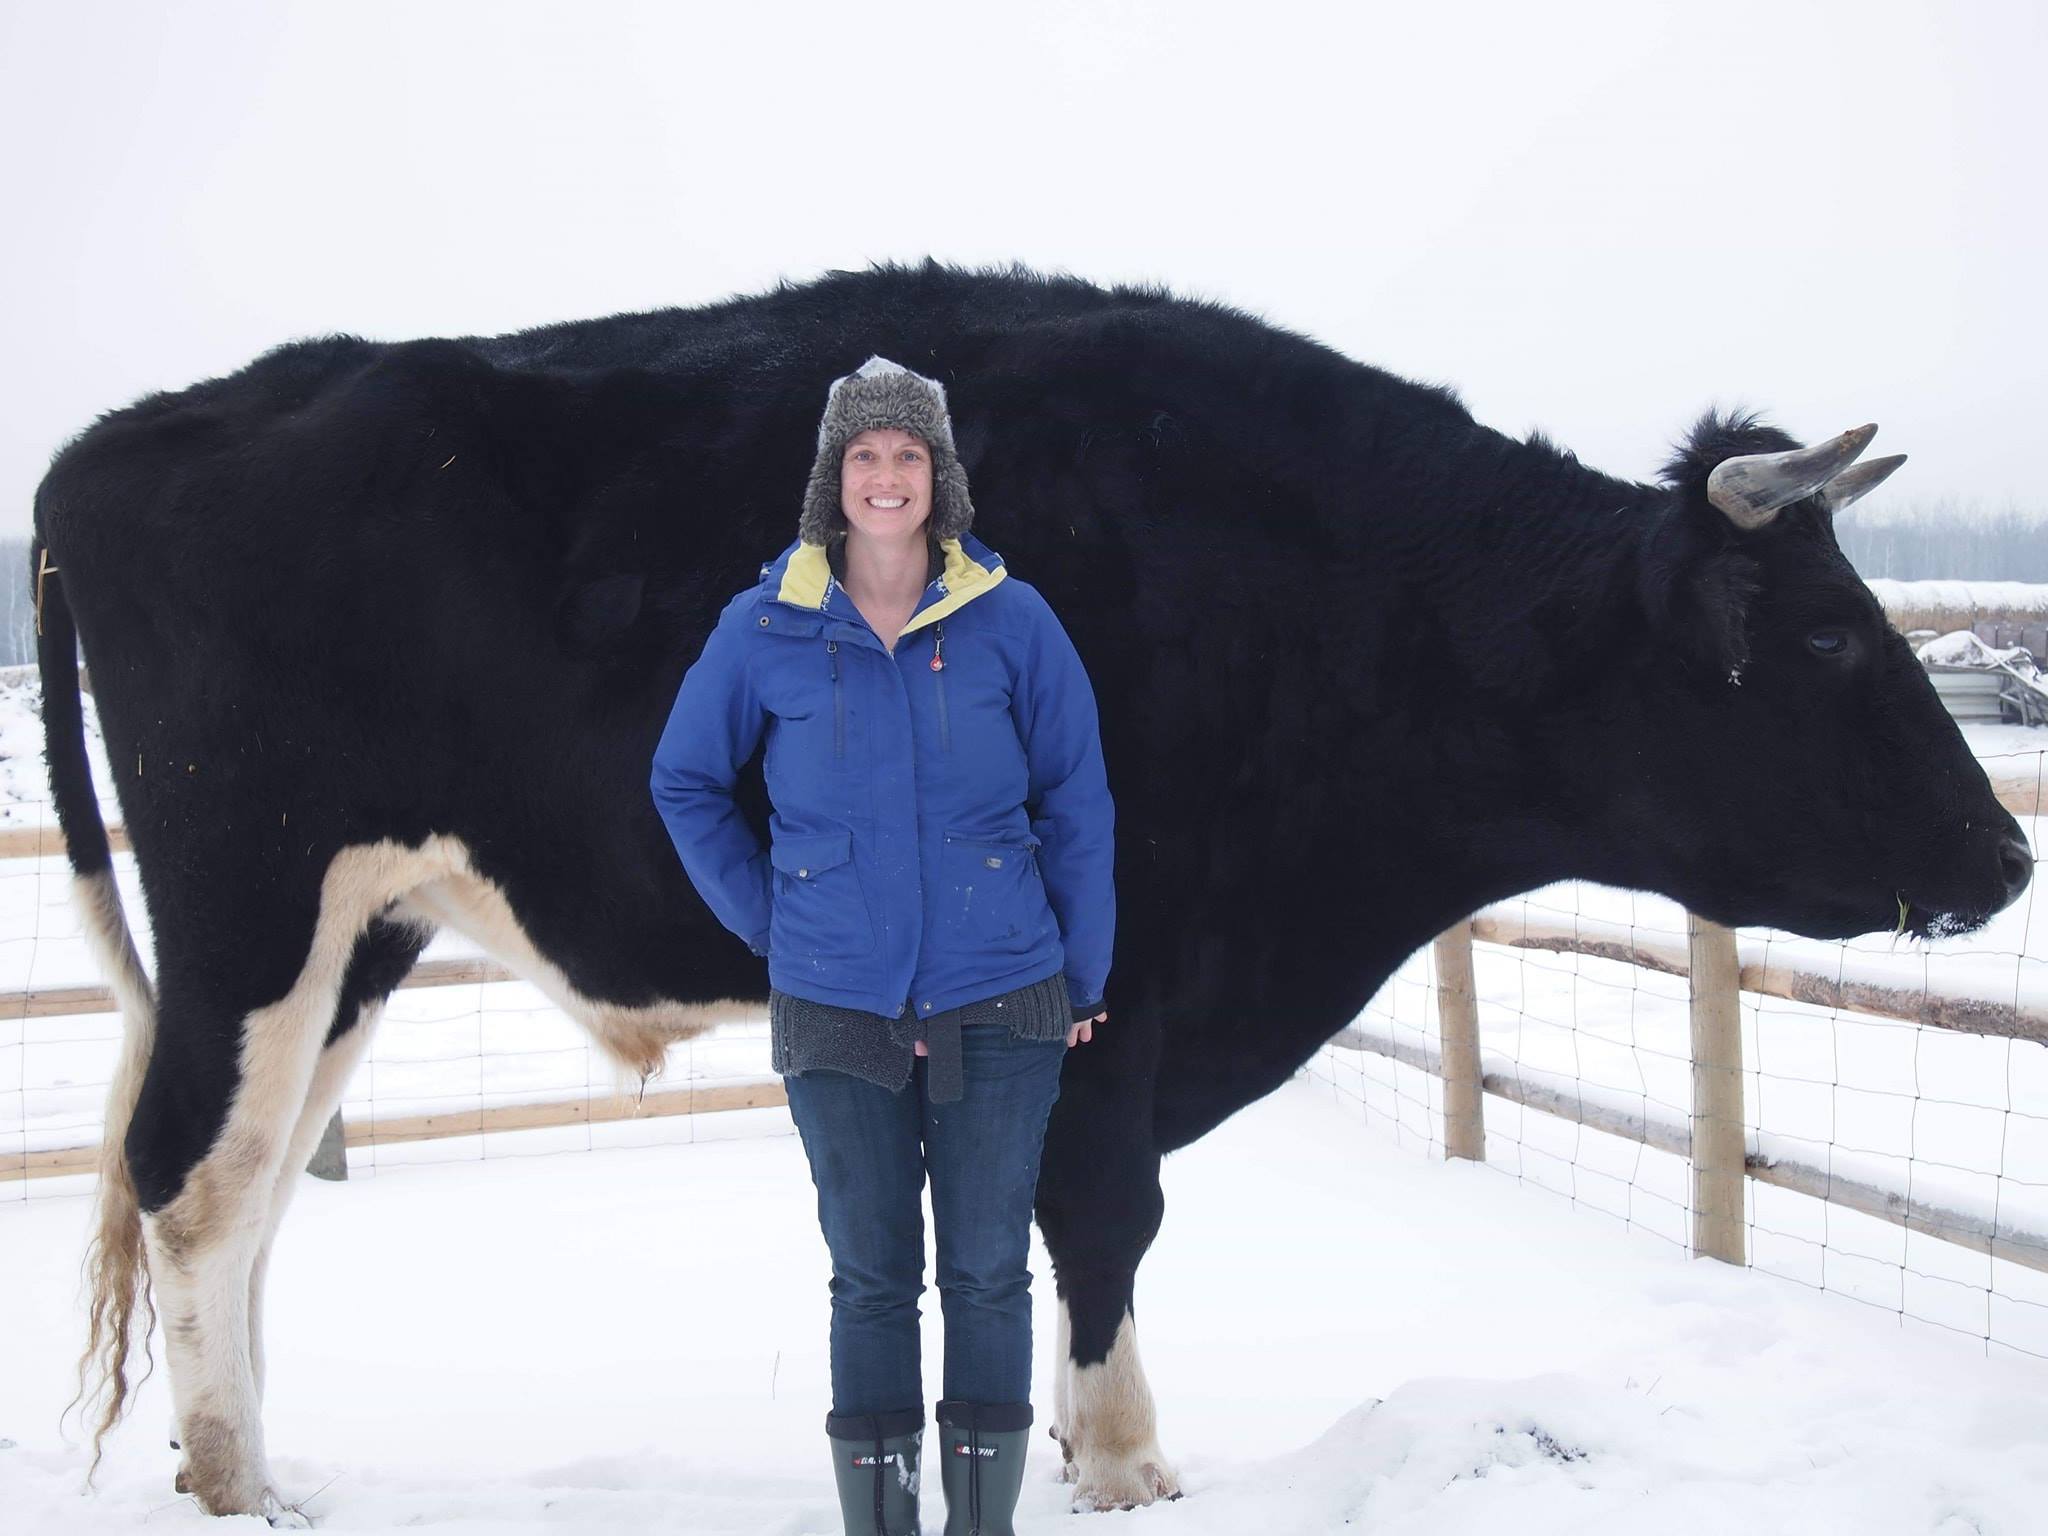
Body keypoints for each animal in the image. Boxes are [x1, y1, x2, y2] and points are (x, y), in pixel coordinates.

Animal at [39, 264, 2023, 1531]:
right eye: (1829, 640)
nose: (2004, 858)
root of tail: (142, 432)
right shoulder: (1119, 985)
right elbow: (1101, 1215)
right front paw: (1133, 1470)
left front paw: (1075, 1452)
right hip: (250, 903)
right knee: (193, 1181)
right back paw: (237, 1482)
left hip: (358, 936)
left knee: (252, 1190)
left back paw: (255, 1465)